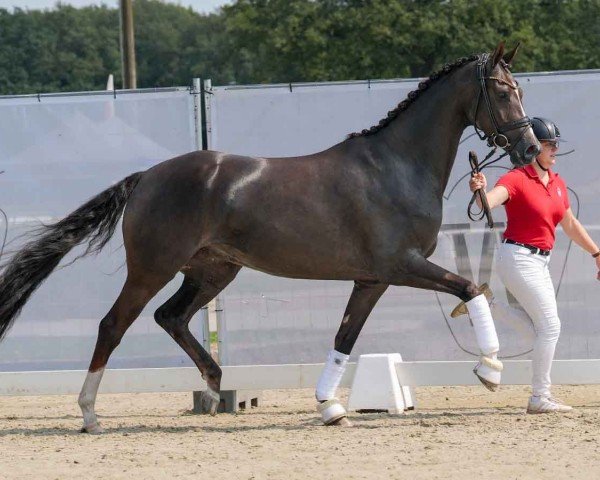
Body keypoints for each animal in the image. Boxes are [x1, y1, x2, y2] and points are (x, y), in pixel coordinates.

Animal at [0, 42, 540, 432]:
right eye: (501, 91)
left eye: (518, 88)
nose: (530, 149)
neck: (397, 167)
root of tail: (147, 176)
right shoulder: (401, 266)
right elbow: (471, 289)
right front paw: (490, 371)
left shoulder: (371, 279)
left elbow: (345, 337)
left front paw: (329, 408)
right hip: (152, 268)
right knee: (114, 325)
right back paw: (90, 413)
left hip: (214, 271)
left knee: (170, 317)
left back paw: (214, 389)